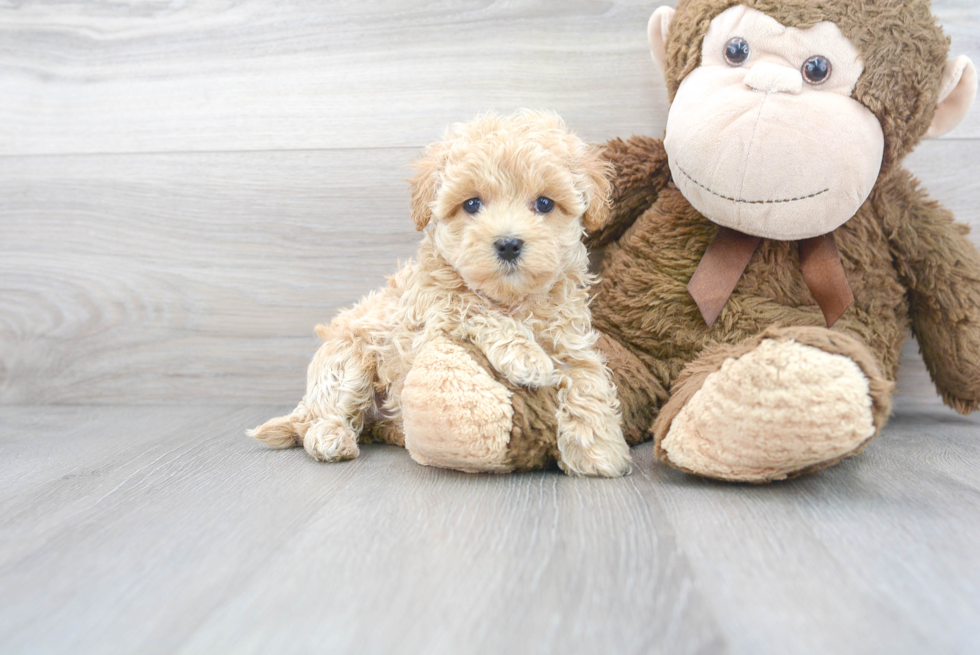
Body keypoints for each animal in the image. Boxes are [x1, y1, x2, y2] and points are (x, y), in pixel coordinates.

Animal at [249, 110, 632, 480]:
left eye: (544, 204)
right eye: (472, 204)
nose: (508, 244)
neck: (512, 299)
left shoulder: (569, 336)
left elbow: (588, 379)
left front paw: (600, 450)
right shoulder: (433, 315)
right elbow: (474, 307)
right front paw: (527, 357)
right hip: (347, 358)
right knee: (325, 412)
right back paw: (331, 437)